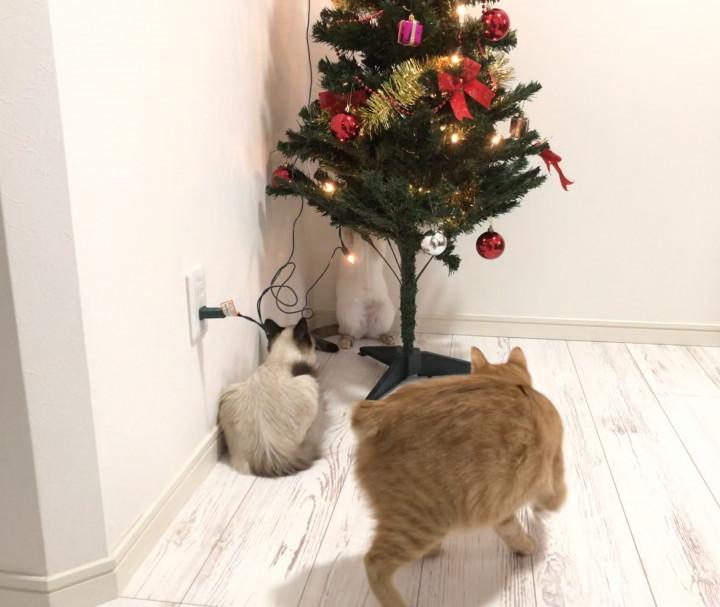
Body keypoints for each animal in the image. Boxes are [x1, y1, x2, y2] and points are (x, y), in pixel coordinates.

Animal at [351, 346, 566, 607]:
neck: (514, 384)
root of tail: (381, 411)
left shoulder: (498, 498)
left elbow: (511, 529)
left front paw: (523, 546)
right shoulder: (553, 460)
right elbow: (556, 492)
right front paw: (545, 512)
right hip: (419, 523)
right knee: (374, 562)